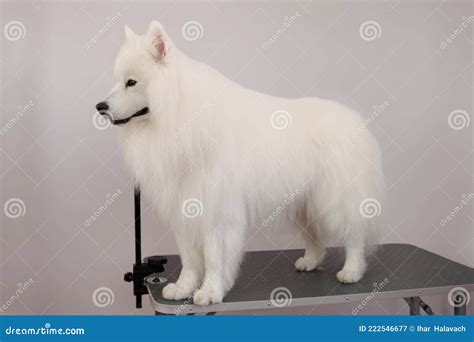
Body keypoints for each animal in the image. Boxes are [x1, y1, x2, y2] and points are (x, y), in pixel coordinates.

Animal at [96, 20, 386, 304]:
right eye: (117, 81)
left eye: (131, 82)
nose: (100, 107)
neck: (179, 116)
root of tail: (355, 120)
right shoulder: (183, 205)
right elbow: (189, 258)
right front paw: (183, 288)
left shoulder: (216, 209)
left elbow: (214, 257)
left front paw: (210, 292)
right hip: (303, 202)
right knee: (315, 236)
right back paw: (311, 261)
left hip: (335, 199)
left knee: (354, 234)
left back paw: (352, 271)